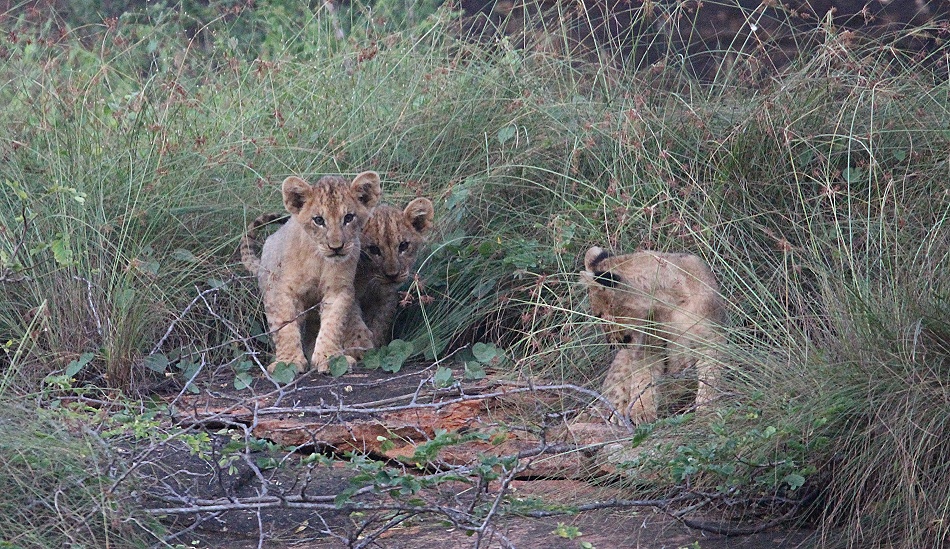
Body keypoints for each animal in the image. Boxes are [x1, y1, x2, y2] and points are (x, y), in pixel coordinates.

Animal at [240, 172, 381, 374]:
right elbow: (285, 327)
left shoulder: (338, 289)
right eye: (319, 220)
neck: (319, 260)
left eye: (348, 217)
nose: (336, 247)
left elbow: (333, 324)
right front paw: (288, 362)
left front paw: (330, 358)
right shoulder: (281, 291)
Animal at [580, 246, 725, 424]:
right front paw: (641, 412)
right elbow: (644, 379)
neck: (667, 301)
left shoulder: (709, 337)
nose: (610, 343)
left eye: (599, 315)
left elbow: (710, 376)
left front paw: (708, 412)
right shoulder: (647, 345)